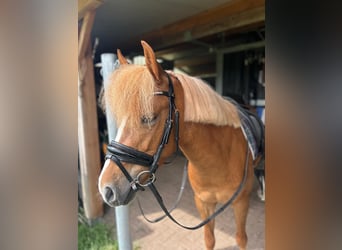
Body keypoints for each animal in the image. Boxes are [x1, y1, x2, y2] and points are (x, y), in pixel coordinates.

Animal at [97, 41, 264, 250]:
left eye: (149, 118)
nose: (106, 189)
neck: (218, 160)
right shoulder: (203, 203)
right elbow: (209, 239)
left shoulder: (241, 204)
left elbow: (241, 238)